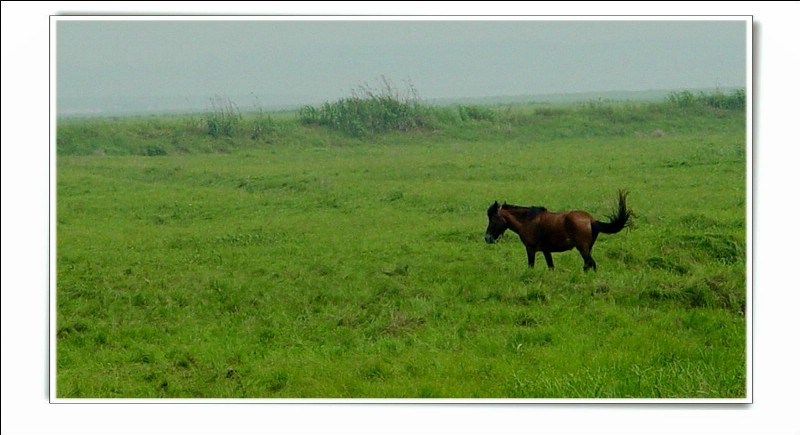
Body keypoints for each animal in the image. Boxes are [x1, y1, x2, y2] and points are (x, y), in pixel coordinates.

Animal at [484, 192, 636, 272]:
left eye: (494, 218)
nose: (487, 238)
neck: (528, 220)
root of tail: (591, 220)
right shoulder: (546, 250)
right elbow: (551, 266)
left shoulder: (530, 248)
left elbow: (531, 266)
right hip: (588, 248)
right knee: (588, 265)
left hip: (583, 248)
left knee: (591, 264)